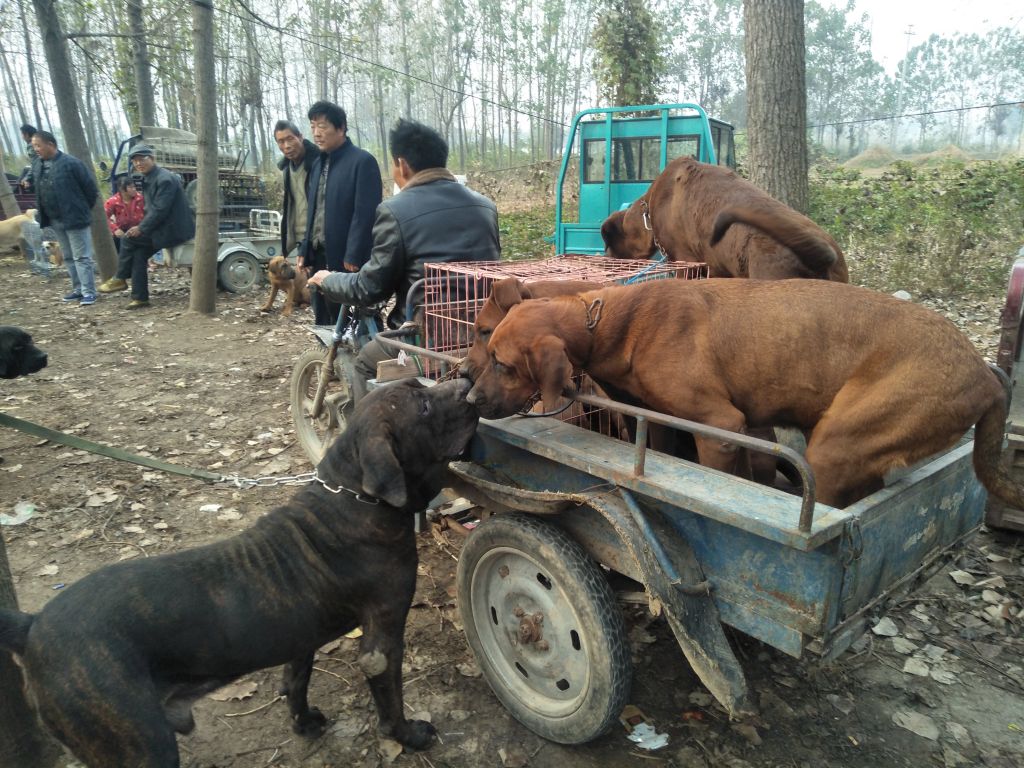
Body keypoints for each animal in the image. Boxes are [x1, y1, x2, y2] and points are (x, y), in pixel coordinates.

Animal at [0, 378, 479, 768]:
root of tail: (32, 625)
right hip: (139, 742)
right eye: (423, 406)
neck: (355, 495)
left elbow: (295, 680)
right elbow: (390, 700)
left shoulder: (299, 634)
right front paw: (409, 735)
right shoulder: (381, 641)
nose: (467, 383)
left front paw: (304, 723)